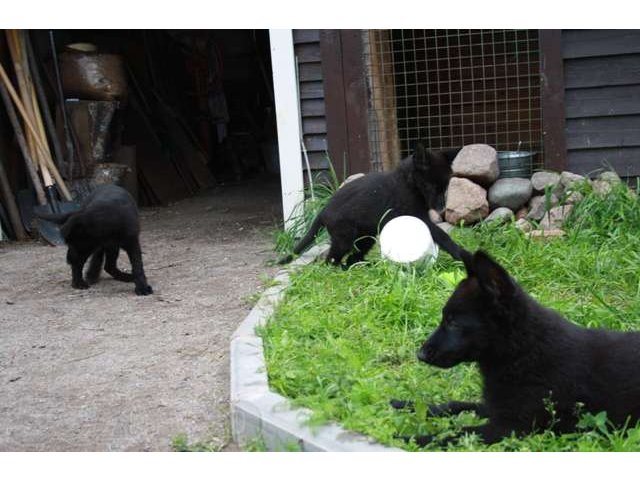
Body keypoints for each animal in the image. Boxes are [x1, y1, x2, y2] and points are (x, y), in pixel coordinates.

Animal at [278, 142, 462, 266]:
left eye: (445, 186)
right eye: (431, 186)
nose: (442, 207)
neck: (408, 182)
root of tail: (322, 212)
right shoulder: (418, 216)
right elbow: (442, 236)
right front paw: (462, 255)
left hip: (366, 237)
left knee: (353, 258)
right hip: (344, 239)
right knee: (331, 260)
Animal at [392, 249, 640, 448]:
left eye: (453, 322)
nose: (420, 354)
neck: (522, 351)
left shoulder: (510, 426)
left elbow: (456, 433)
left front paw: (406, 439)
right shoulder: (496, 408)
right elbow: (456, 405)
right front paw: (403, 404)